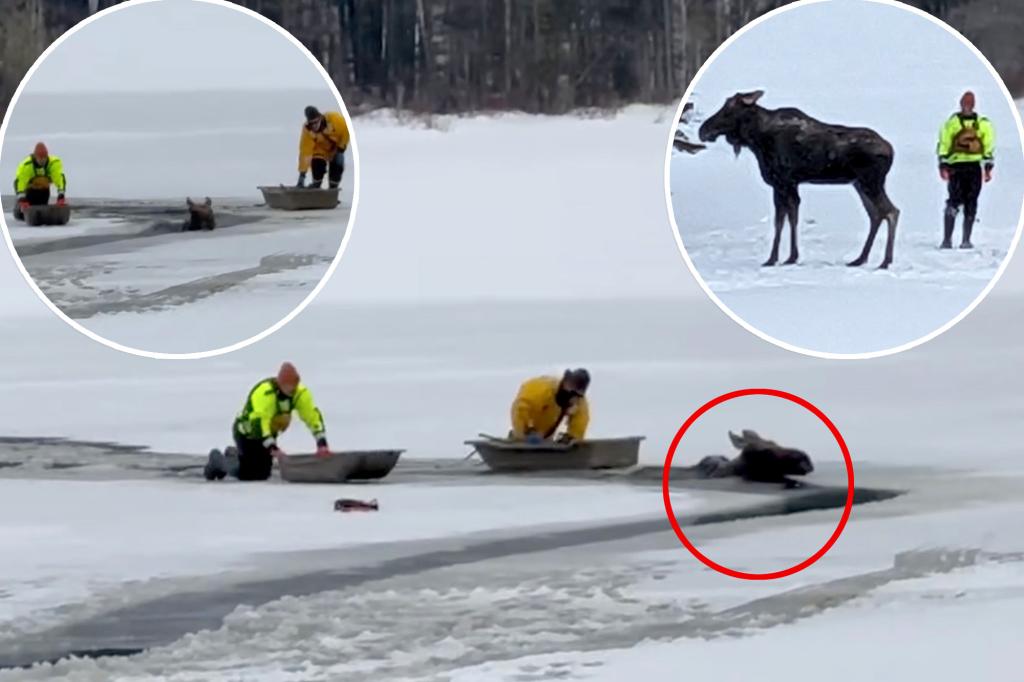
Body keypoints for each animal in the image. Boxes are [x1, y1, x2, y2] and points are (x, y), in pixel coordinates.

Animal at [696, 89, 905, 268]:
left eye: (728, 110)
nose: (702, 131)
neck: (757, 139)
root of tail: (891, 151)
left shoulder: (782, 182)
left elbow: (782, 221)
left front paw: (776, 258)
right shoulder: (788, 184)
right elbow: (790, 218)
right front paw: (789, 257)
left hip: (871, 182)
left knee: (891, 211)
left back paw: (885, 261)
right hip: (859, 184)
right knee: (876, 215)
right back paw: (860, 259)